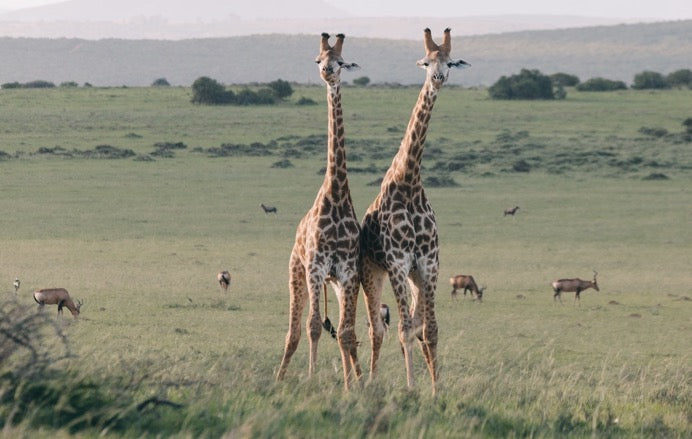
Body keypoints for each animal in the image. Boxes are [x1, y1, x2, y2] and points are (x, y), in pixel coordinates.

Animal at [360, 28, 468, 396]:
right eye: (425, 62)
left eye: (449, 62)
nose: (438, 79)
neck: (409, 180)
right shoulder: (396, 261)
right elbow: (405, 330)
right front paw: (410, 387)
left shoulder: (429, 262)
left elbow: (429, 329)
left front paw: (437, 390)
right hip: (372, 274)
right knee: (376, 327)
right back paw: (371, 380)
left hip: (414, 277)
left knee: (413, 322)